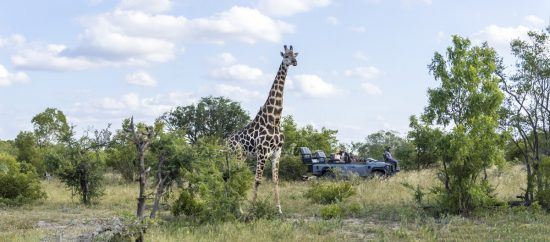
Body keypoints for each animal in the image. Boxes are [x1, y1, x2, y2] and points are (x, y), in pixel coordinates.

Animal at [230, 44, 302, 213]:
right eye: (286, 56)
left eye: (294, 55)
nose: (295, 62)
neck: (274, 119)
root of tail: (226, 139)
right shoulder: (262, 153)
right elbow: (257, 180)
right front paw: (252, 209)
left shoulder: (277, 153)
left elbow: (276, 180)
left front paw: (279, 210)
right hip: (236, 154)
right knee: (234, 175)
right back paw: (238, 208)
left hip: (243, 156)